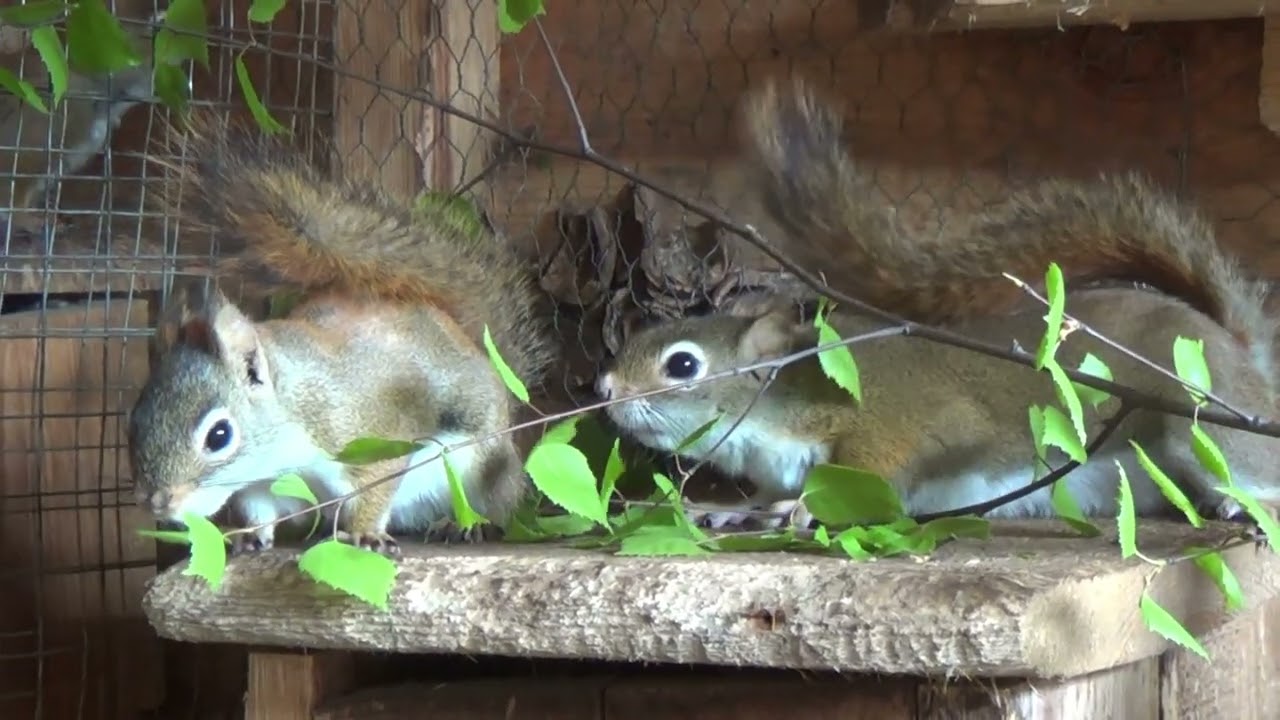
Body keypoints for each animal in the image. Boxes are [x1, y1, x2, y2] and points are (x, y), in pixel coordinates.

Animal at [126, 112, 557, 556]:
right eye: (133, 424)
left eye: (219, 435)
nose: (157, 502)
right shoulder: (260, 487)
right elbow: (260, 511)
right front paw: (247, 536)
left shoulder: (369, 436)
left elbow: (375, 489)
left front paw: (364, 532)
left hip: (480, 464)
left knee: (494, 504)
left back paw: (464, 524)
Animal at [595, 74, 1280, 529]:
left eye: (683, 365)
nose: (604, 389)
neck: (782, 406)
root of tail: (1237, 348)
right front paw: (724, 507)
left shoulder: (895, 423)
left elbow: (877, 475)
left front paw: (796, 505)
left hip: (1202, 430)